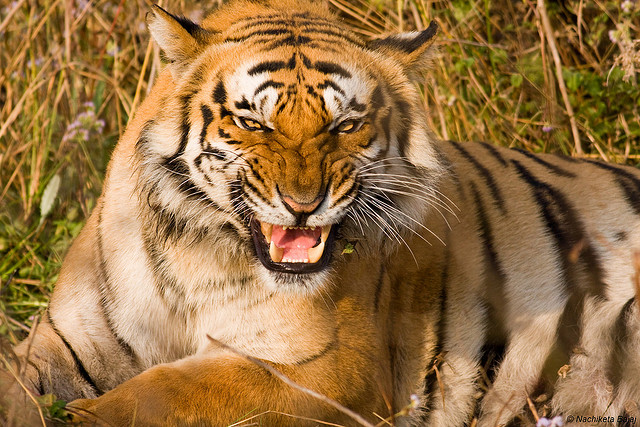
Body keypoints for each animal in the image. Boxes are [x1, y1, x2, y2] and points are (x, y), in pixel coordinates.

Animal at [5, 0, 640, 426]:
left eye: (346, 124)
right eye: (252, 122)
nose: (303, 205)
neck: (196, 251)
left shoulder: (321, 366)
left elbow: (168, 392)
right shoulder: (64, 342)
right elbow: (15, 386)